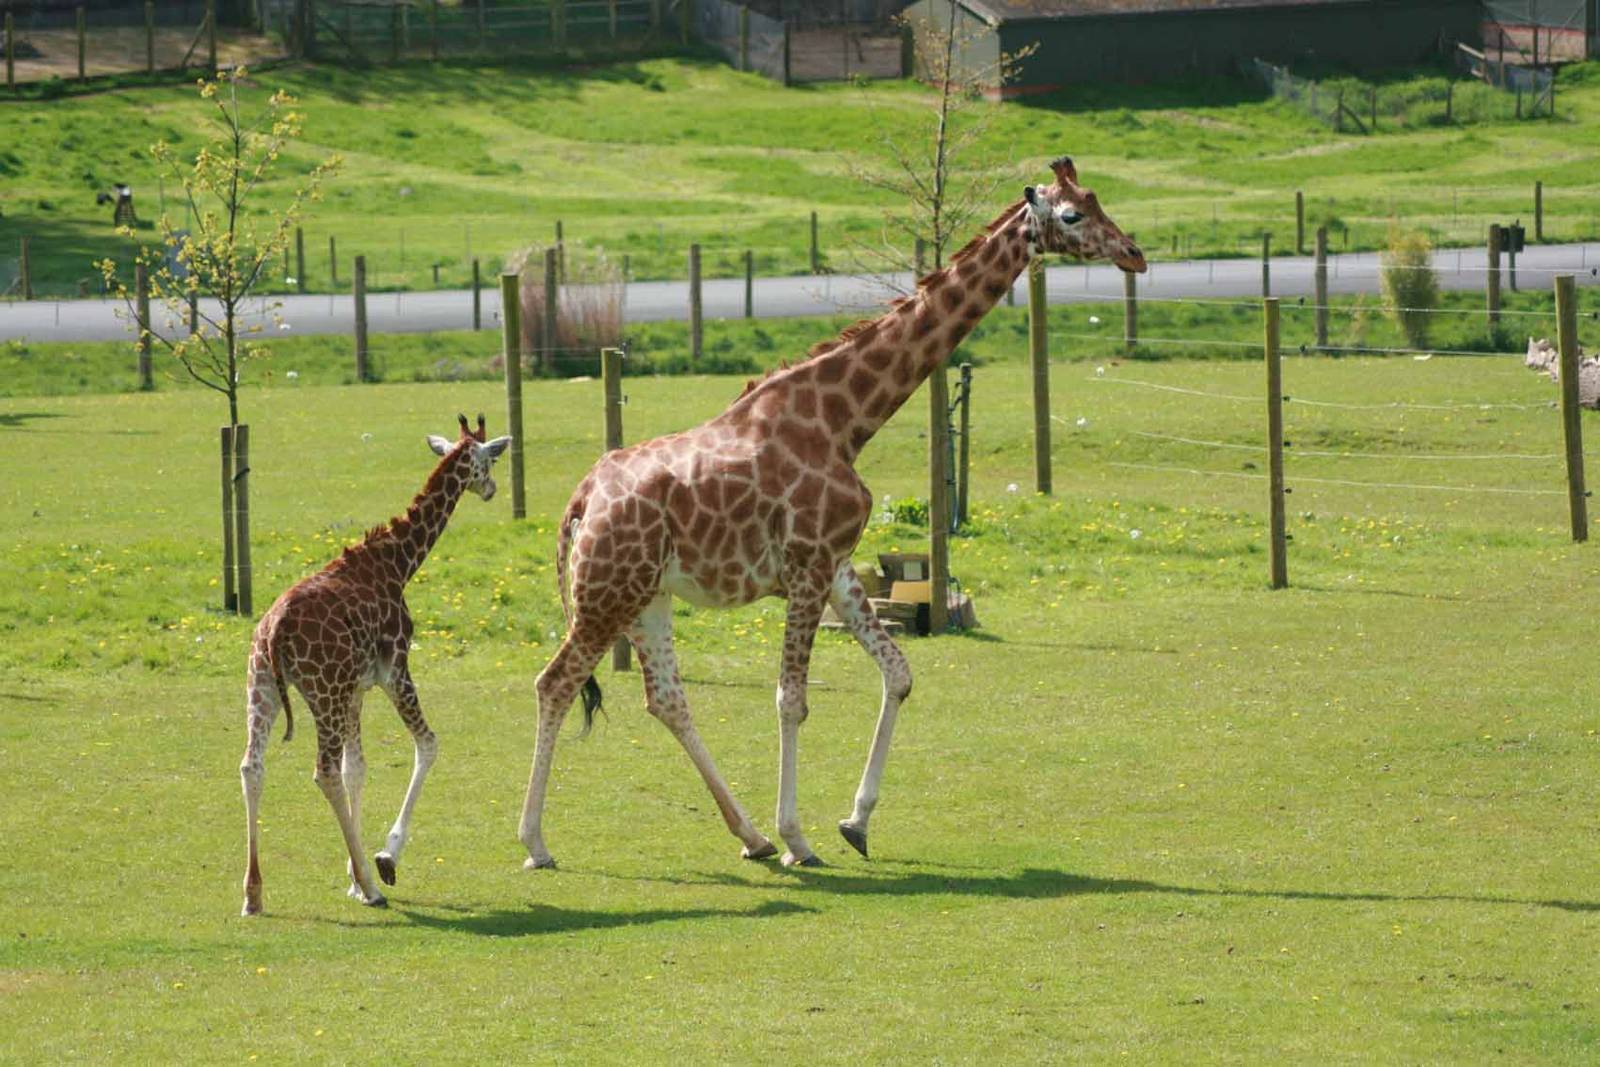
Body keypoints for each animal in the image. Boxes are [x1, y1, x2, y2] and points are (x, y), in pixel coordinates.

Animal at [239, 414, 511, 916]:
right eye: (489, 459)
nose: (491, 488)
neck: (398, 562)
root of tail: (273, 634)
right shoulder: (394, 671)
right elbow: (428, 745)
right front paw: (382, 860)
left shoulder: (357, 689)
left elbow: (358, 769)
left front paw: (352, 872)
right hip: (323, 692)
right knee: (323, 771)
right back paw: (372, 887)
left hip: (262, 688)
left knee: (253, 766)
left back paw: (252, 893)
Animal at [518, 157, 1144, 870]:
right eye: (1072, 214)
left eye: (1097, 200)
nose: (1135, 254)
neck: (847, 422)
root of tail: (582, 499)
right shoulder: (808, 565)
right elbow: (792, 700)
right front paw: (800, 837)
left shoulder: (839, 566)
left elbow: (899, 673)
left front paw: (856, 822)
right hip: (606, 594)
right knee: (555, 683)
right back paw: (537, 841)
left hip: (647, 593)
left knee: (667, 700)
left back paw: (750, 836)